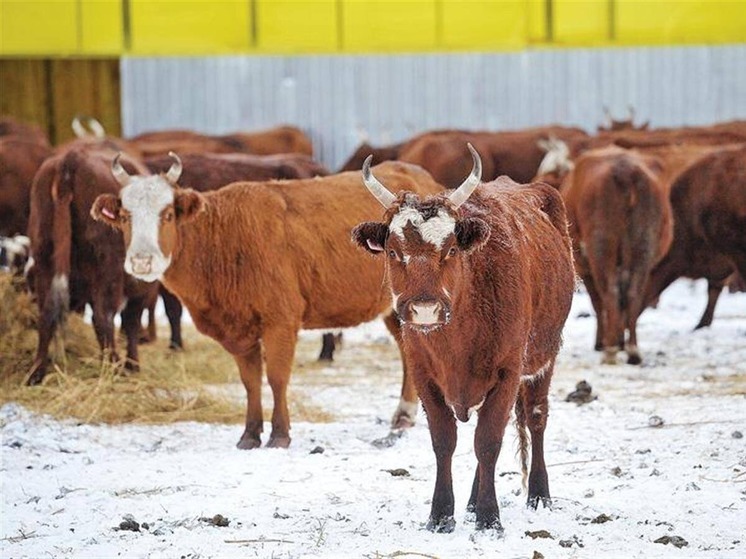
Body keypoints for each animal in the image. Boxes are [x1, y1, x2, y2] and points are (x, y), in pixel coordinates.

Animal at [26, 141, 158, 384]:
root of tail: (71, 159)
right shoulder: (140, 287)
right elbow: (131, 322)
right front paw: (132, 365)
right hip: (109, 269)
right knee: (103, 316)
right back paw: (114, 366)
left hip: (44, 259)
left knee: (46, 313)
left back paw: (37, 371)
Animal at [91, 154, 444, 450]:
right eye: (124, 217)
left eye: (166, 215)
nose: (142, 261)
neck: (223, 241)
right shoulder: (240, 330)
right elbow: (250, 382)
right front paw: (249, 434)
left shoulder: (280, 321)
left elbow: (276, 377)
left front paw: (279, 433)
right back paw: (404, 415)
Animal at [352, 143, 572, 532]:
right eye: (393, 251)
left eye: (451, 250)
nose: (425, 309)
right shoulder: (424, 375)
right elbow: (445, 441)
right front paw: (442, 515)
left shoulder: (508, 372)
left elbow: (488, 441)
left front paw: (489, 517)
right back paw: (470, 503)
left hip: (544, 356)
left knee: (536, 417)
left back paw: (538, 494)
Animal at [560, 144, 676, 366]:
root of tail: (626, 169)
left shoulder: (585, 268)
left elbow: (598, 304)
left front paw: (603, 342)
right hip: (643, 244)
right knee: (632, 293)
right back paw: (632, 350)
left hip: (601, 247)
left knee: (610, 293)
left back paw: (611, 350)